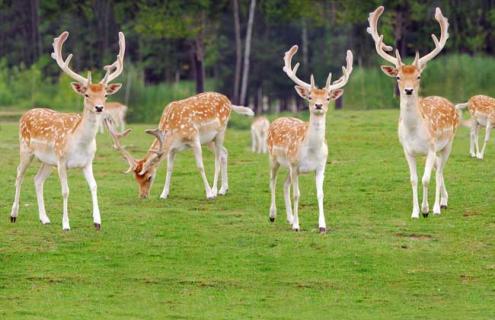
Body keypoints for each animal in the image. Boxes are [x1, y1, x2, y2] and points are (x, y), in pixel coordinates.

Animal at [9, 31, 125, 231]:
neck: (79, 144)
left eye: (105, 95)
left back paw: (44, 218)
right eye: (86, 94)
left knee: (37, 180)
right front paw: (65, 224)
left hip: (47, 161)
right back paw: (13, 215)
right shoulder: (62, 161)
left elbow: (94, 186)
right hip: (26, 150)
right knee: (19, 175)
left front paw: (97, 222)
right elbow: (65, 191)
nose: (100, 107)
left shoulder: (87, 162)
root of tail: (25, 113)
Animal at [108, 91, 256, 199]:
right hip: (209, 140)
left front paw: (208, 194)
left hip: (221, 131)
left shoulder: (194, 139)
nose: (143, 196)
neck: (173, 133)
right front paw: (164, 194)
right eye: (136, 179)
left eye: (149, 177)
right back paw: (223, 189)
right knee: (225, 153)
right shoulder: (172, 148)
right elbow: (169, 169)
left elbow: (200, 166)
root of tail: (229, 101)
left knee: (218, 159)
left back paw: (215, 191)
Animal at [270, 44, 354, 232]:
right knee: (272, 181)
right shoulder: (295, 165)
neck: (311, 151)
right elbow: (297, 194)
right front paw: (297, 226)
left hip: (288, 167)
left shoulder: (321, 166)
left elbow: (320, 194)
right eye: (310, 96)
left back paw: (288, 218)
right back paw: (272, 216)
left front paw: (322, 225)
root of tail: (276, 119)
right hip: (273, 158)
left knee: (284, 185)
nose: (318, 105)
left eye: (328, 97)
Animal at [368, 6, 462, 219]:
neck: (414, 132)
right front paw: (415, 212)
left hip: (448, 142)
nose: (409, 90)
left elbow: (426, 179)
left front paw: (427, 210)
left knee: (439, 171)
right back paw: (443, 201)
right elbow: (413, 179)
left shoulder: (431, 148)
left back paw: (439, 206)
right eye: (398, 77)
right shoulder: (407, 150)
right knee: (438, 169)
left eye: (418, 76)